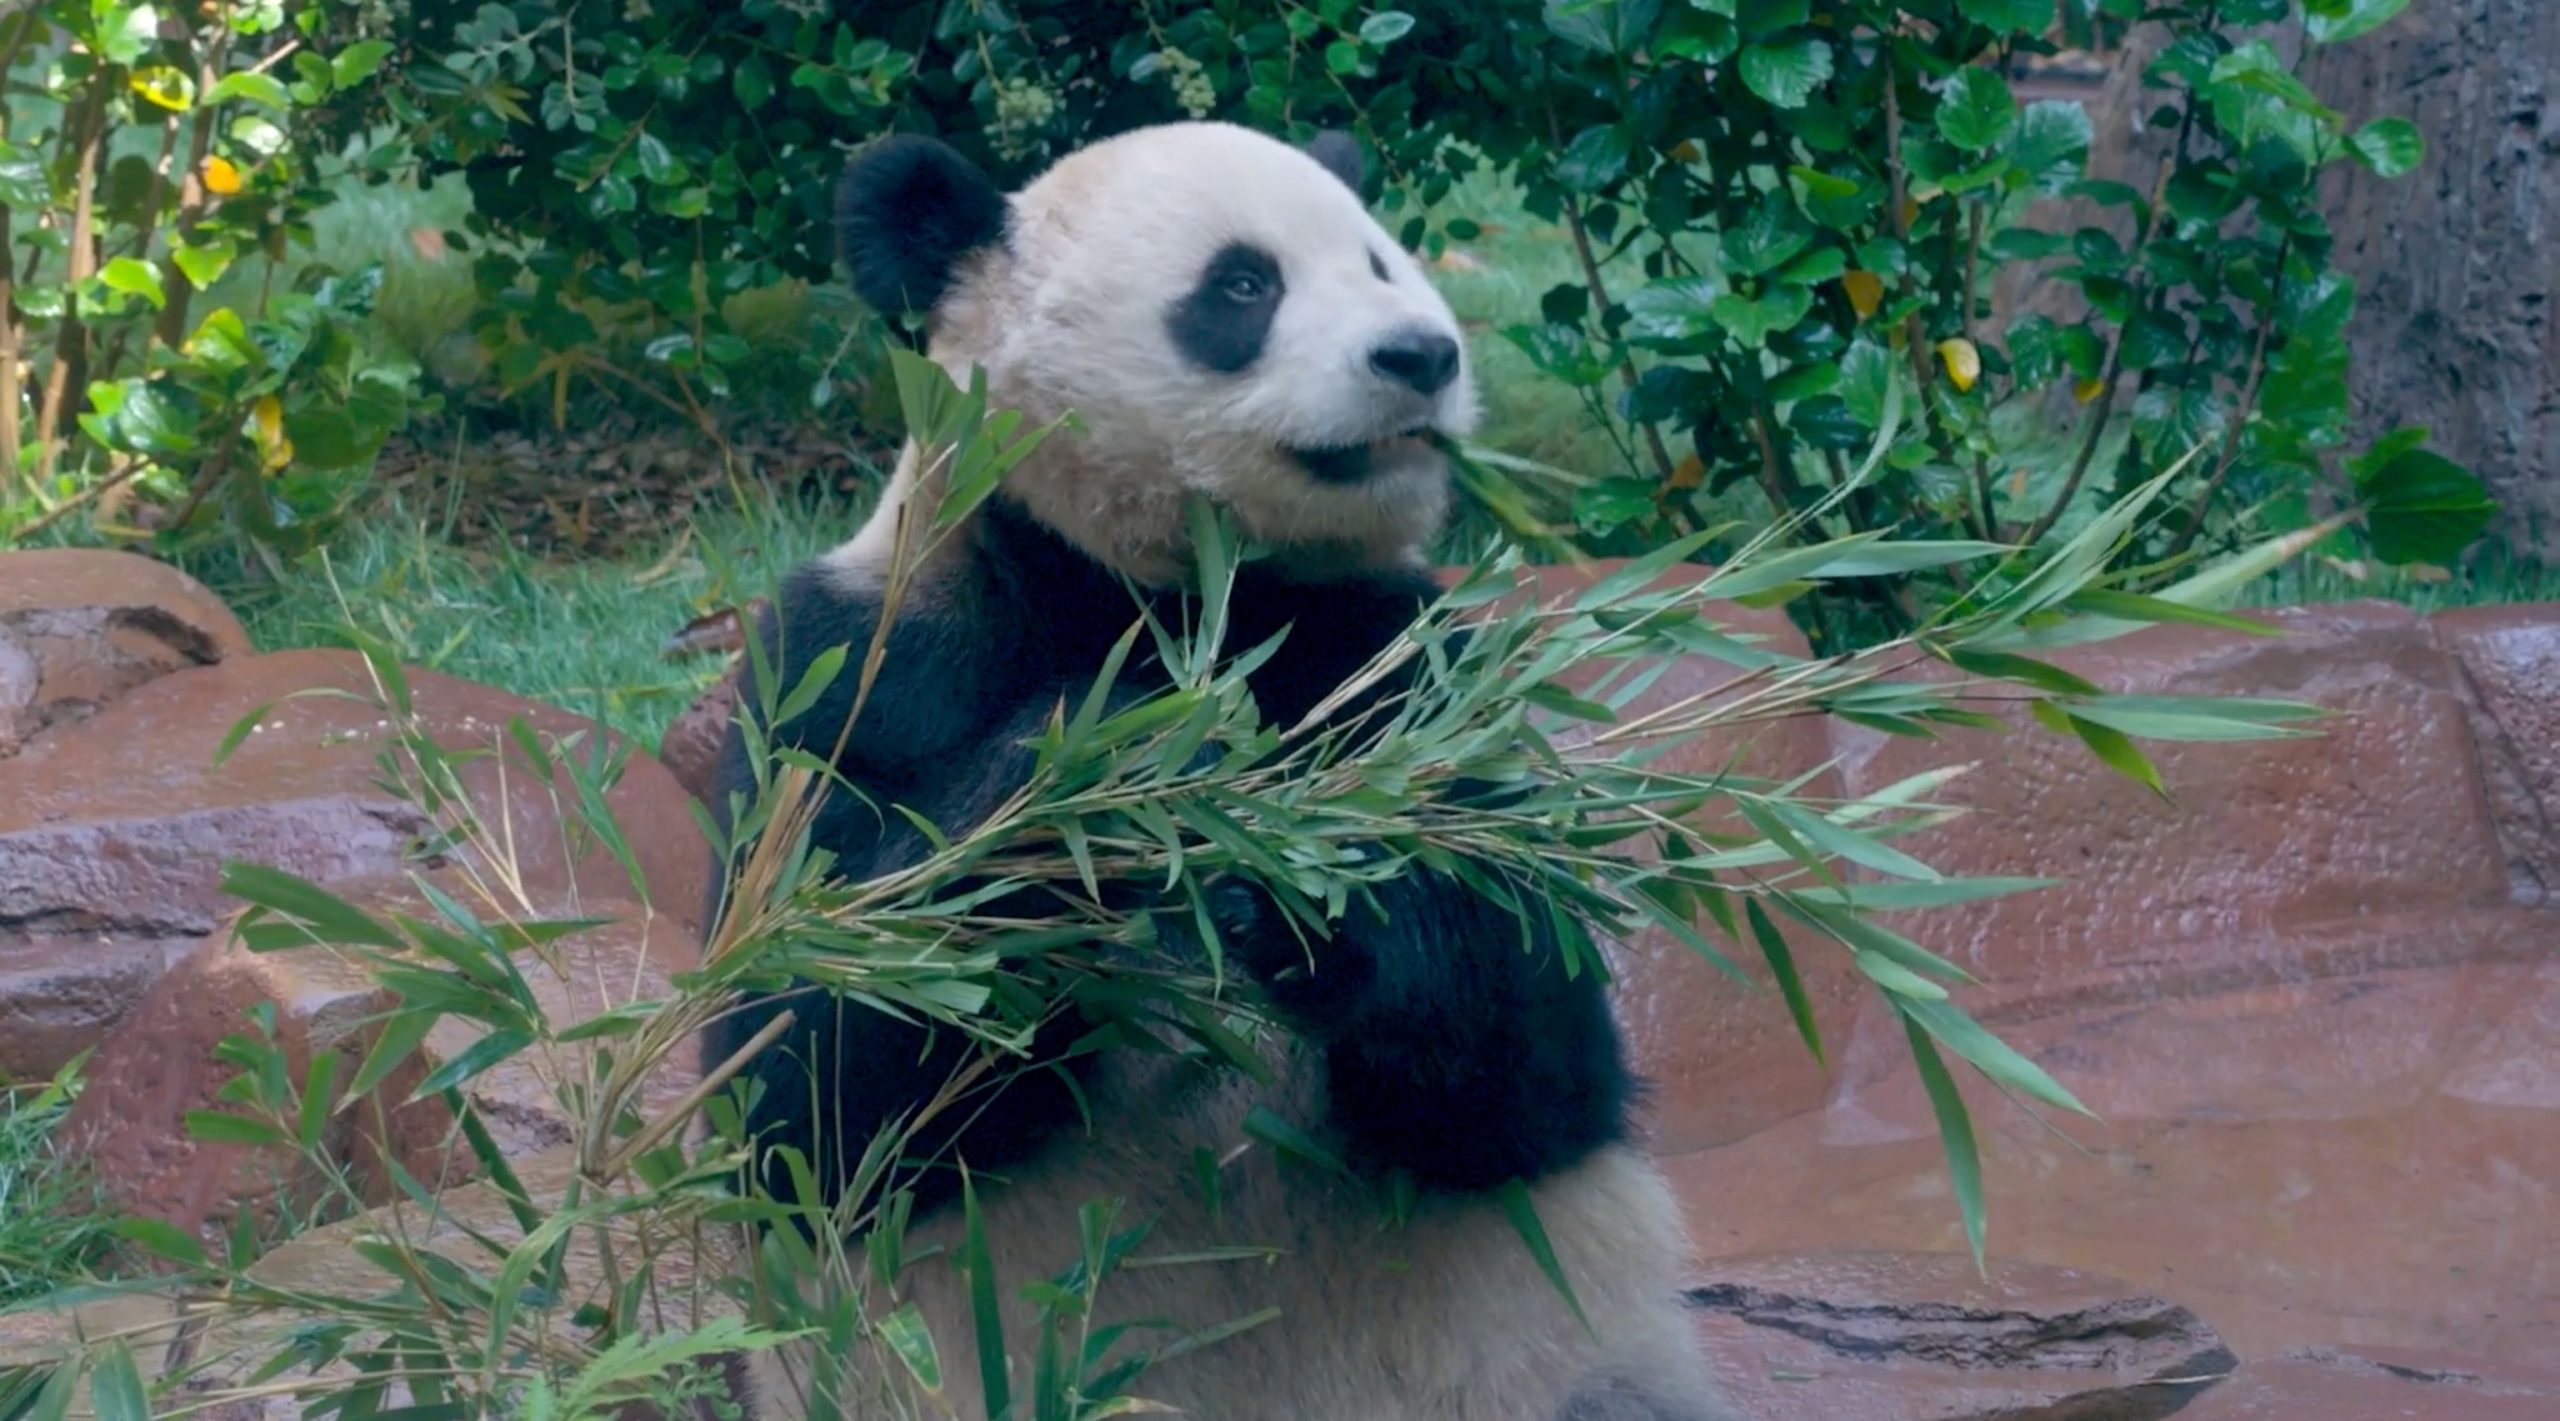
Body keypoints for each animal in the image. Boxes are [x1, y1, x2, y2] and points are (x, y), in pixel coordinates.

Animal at [701, 119, 1740, 1421]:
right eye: (1242, 285)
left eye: (1381, 259)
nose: (1421, 354)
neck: (1175, 593)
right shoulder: (863, 668)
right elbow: (800, 1100)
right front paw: (1127, 767)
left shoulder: (1407, 665)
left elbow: (1532, 1082)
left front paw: (1311, 885)